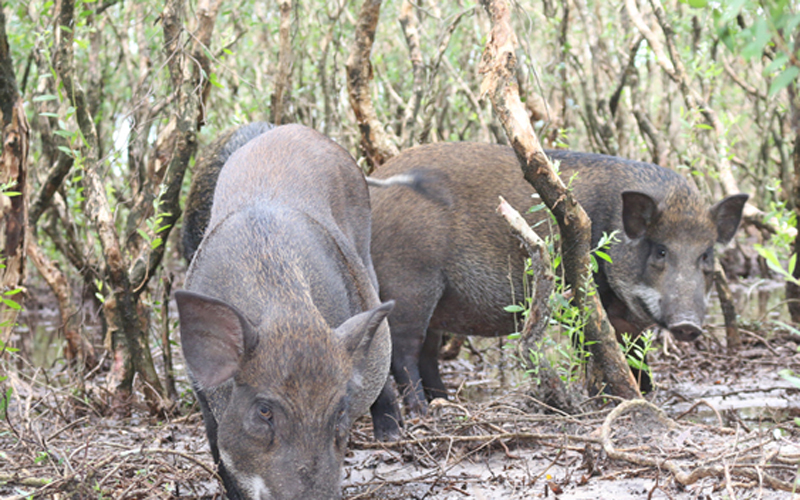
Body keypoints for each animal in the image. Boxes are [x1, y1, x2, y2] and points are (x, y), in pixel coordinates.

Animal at [368, 142, 744, 426]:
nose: (687, 325)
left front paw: (648, 395)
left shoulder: (629, 323)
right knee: (404, 352)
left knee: (427, 355)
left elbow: (637, 359)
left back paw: (444, 404)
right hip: (411, 282)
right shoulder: (586, 302)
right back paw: (421, 412)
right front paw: (607, 400)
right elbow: (598, 353)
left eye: (706, 255)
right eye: (661, 250)